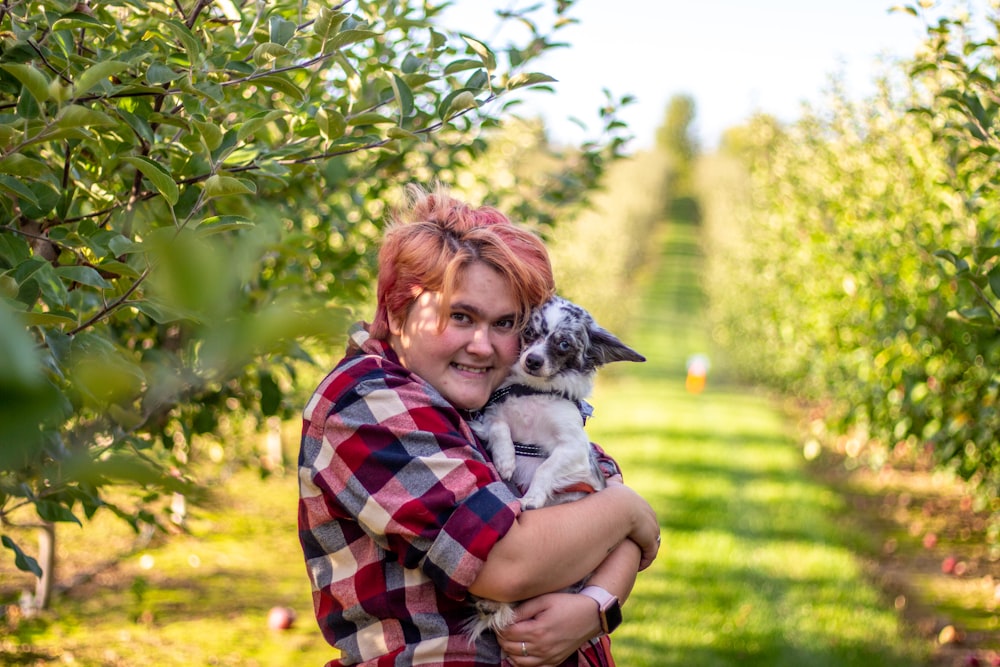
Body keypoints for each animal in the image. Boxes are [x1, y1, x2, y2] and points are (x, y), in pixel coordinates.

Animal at [464, 296, 644, 640]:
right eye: (529, 333)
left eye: (563, 344)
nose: (533, 360)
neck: (535, 391)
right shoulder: (492, 416)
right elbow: (501, 429)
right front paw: (506, 460)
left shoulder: (572, 448)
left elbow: (545, 468)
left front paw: (533, 497)